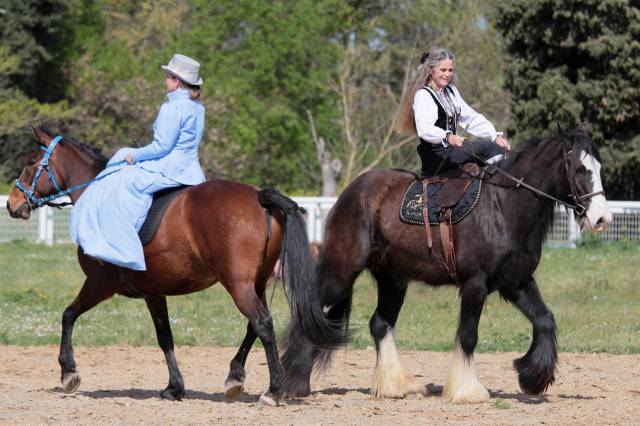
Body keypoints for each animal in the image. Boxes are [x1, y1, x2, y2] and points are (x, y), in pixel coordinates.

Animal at [6, 127, 344, 406]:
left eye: (30, 163)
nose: (12, 204)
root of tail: (259, 196)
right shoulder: (154, 293)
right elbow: (165, 337)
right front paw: (175, 387)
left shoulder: (100, 284)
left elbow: (68, 315)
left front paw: (68, 373)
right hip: (255, 283)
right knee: (255, 324)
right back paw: (234, 377)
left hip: (237, 285)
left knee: (262, 323)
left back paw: (274, 391)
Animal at [282, 125, 612, 402]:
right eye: (580, 168)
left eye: (599, 168)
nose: (601, 219)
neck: (504, 207)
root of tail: (351, 192)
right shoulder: (475, 284)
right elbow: (468, 334)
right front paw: (467, 390)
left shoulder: (516, 282)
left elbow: (545, 319)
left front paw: (533, 378)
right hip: (341, 273)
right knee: (310, 312)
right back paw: (293, 383)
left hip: (393, 280)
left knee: (379, 324)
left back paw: (395, 385)